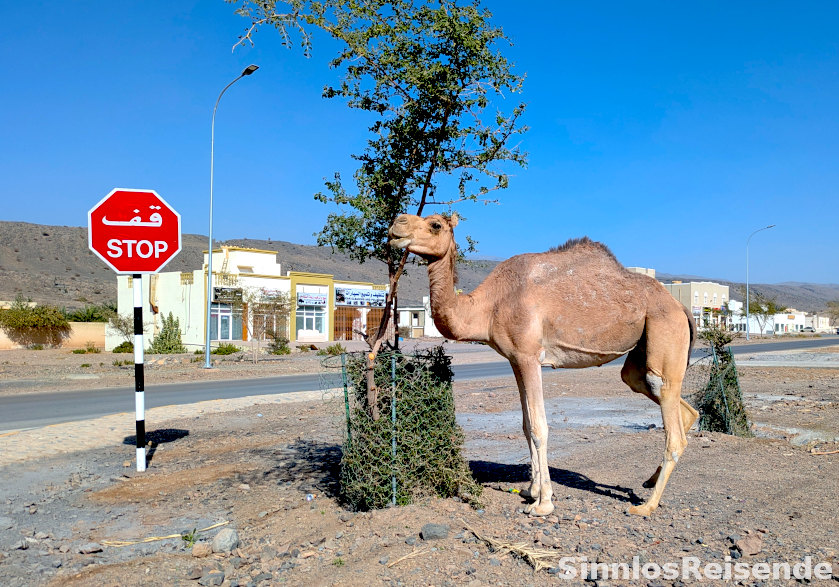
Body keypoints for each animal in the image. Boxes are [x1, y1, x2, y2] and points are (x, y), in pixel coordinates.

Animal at [388, 213, 698, 517]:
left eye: (435, 224)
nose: (396, 225)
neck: (489, 306)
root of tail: (681, 307)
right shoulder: (515, 359)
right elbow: (526, 425)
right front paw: (531, 490)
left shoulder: (529, 356)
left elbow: (539, 428)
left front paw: (543, 503)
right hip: (640, 353)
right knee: (663, 396)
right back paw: (650, 480)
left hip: (665, 329)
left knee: (670, 414)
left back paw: (647, 505)